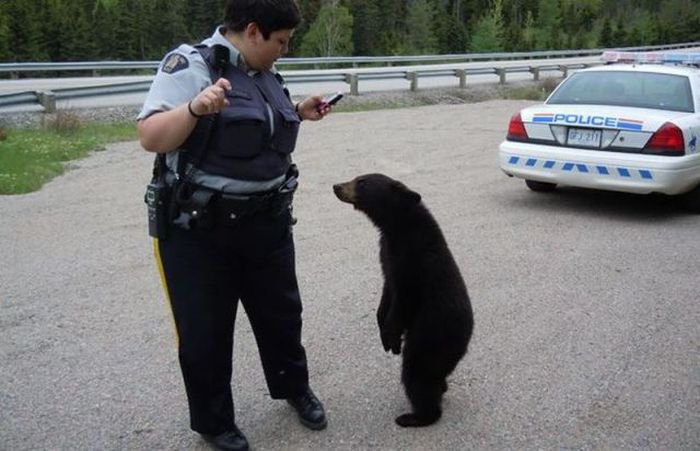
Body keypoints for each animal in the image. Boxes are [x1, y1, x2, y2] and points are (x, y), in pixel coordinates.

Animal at [333, 173, 474, 427]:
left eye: (362, 182)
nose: (336, 186)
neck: (397, 227)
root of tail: (465, 343)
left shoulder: (413, 261)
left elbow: (404, 299)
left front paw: (390, 336)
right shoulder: (386, 254)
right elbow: (387, 289)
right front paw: (383, 332)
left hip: (430, 339)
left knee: (416, 373)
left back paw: (414, 417)